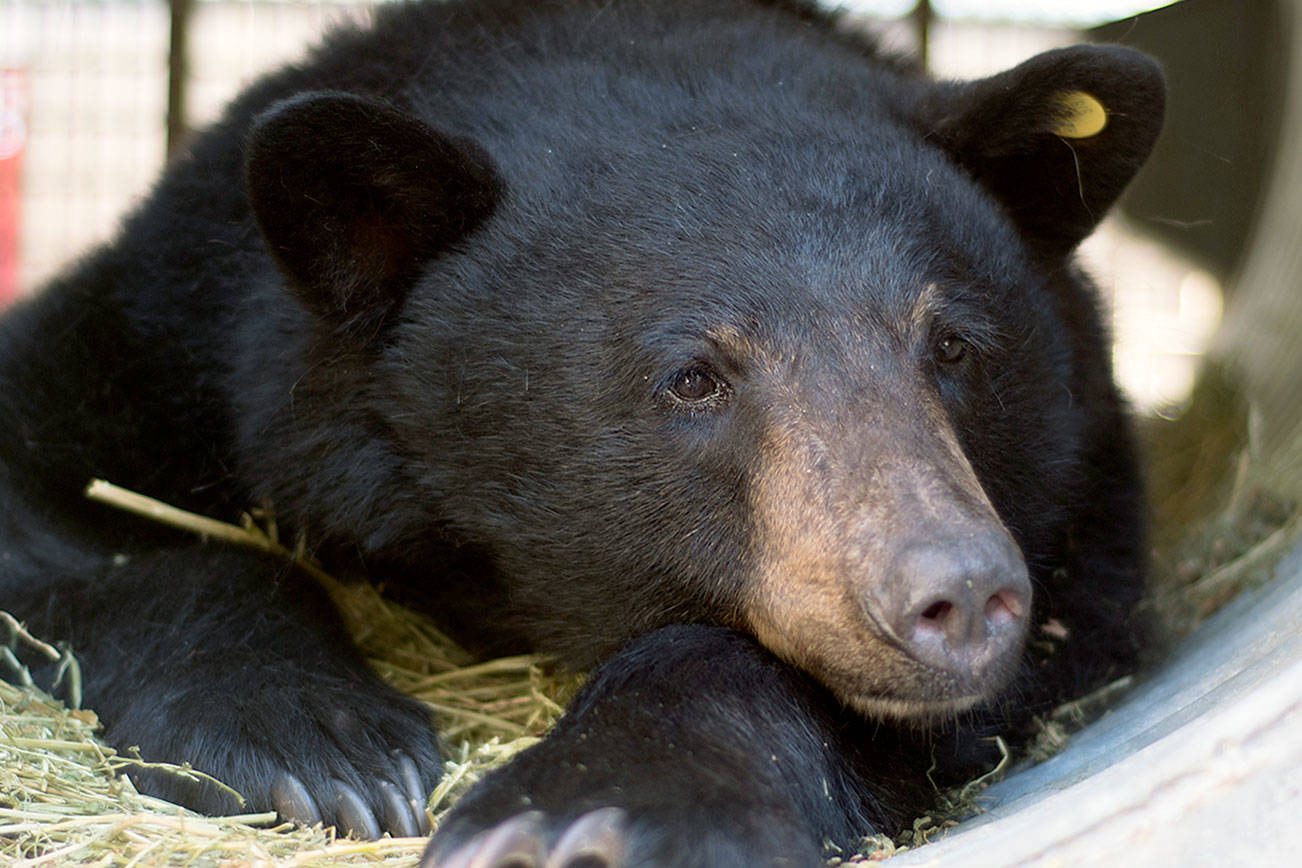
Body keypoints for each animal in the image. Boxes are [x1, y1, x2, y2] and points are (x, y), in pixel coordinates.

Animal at [0, 0, 1161, 864]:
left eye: (953, 345)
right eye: (693, 377)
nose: (958, 594)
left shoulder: (1077, 518)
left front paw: (579, 810)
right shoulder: (166, 328)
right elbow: (80, 512)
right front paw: (320, 749)